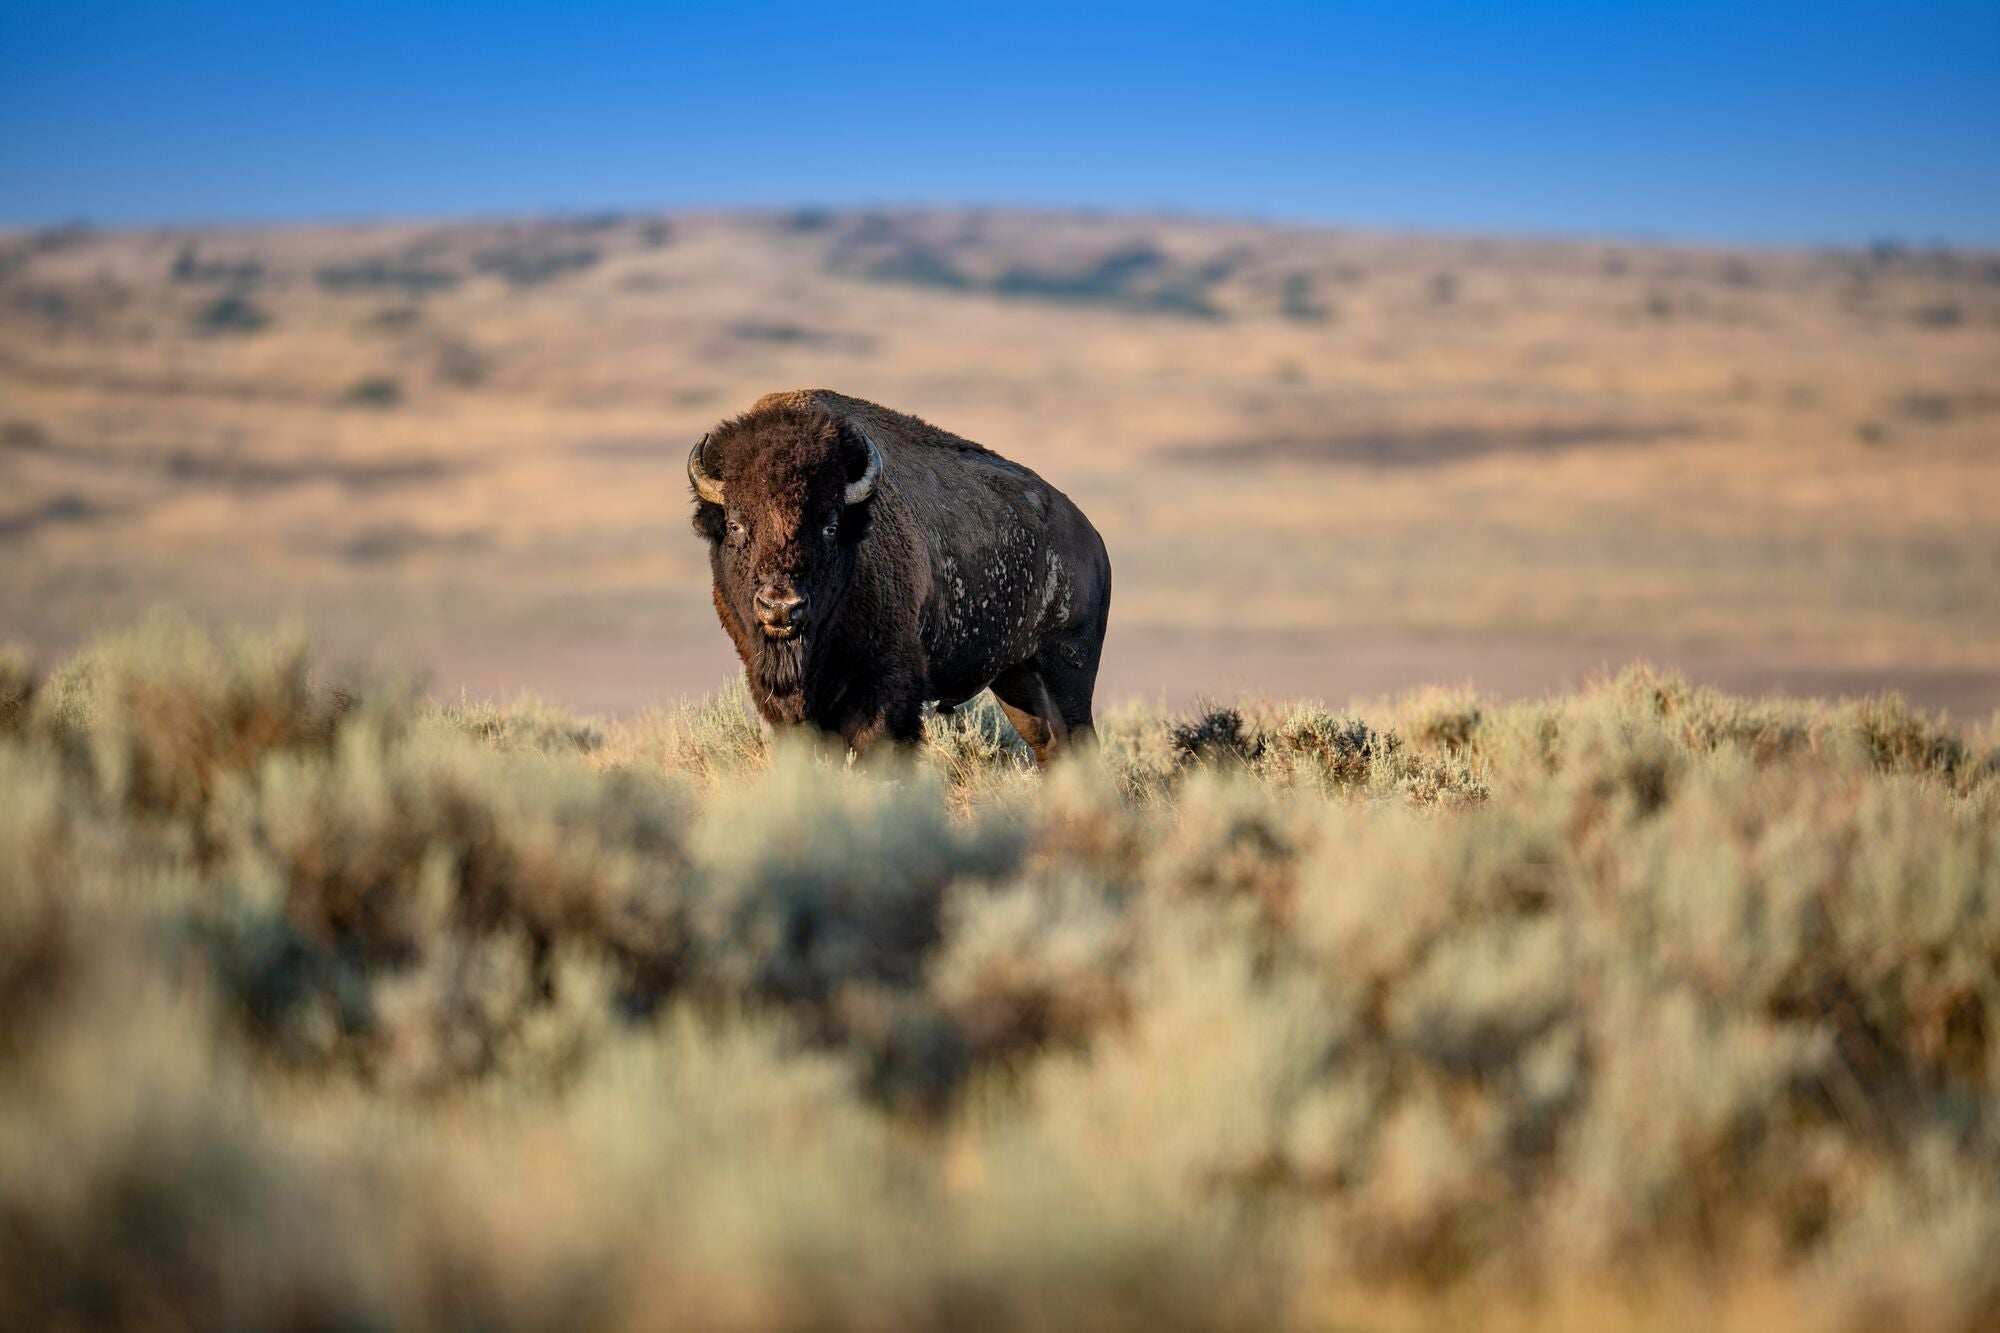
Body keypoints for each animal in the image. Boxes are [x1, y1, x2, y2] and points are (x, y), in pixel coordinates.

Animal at [689, 389, 1110, 764]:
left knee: (1080, 741)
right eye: (735, 524)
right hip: (1018, 678)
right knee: (1050, 747)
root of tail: (1093, 539)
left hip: (1068, 666)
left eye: (830, 526)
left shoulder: (886, 688)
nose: (781, 607)